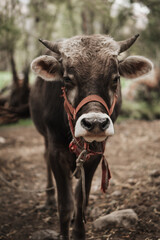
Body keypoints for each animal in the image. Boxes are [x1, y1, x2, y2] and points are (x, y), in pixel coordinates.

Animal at [30, 34, 152, 240]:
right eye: (67, 79)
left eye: (115, 78)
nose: (95, 123)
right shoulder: (56, 150)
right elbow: (65, 205)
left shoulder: (95, 154)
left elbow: (81, 200)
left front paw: (78, 230)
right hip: (45, 138)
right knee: (45, 158)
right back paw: (48, 197)